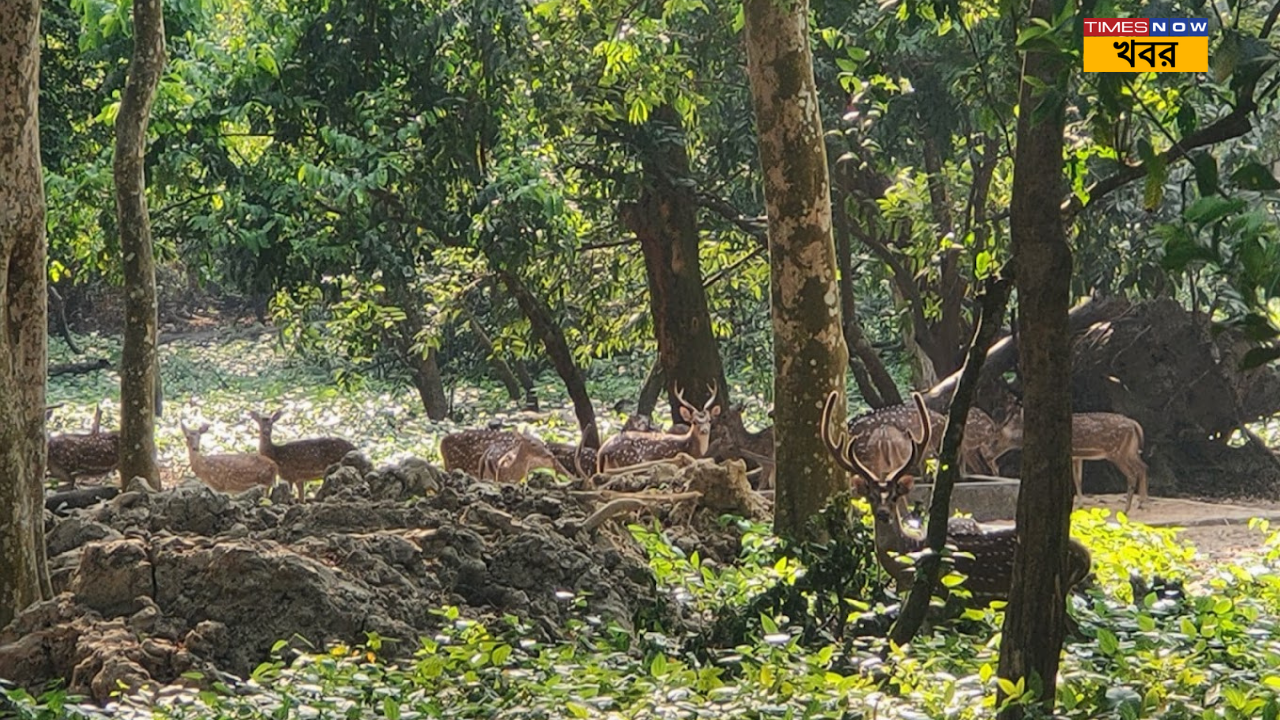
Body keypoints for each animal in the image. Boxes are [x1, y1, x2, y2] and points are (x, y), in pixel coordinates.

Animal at [977, 404, 1152, 509]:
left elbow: (1074, 479)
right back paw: (1142, 503)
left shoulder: (1070, 454)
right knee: (1143, 467)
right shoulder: (1077, 456)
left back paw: (1128, 508)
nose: (988, 457)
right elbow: (1078, 479)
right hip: (1130, 450)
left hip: (1116, 452)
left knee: (1132, 473)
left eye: (995, 440)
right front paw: (1080, 504)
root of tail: (1134, 424)